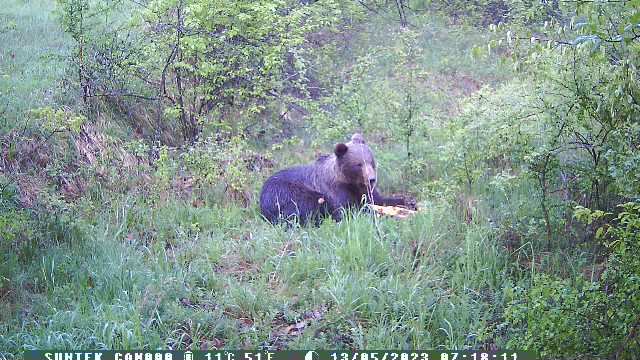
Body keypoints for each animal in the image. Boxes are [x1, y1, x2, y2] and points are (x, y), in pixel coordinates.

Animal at [258, 134, 416, 225]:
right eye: (358, 164)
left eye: (371, 161)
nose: (372, 179)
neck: (351, 182)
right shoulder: (336, 191)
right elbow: (347, 211)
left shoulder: (364, 190)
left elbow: (378, 199)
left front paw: (408, 202)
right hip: (285, 193)